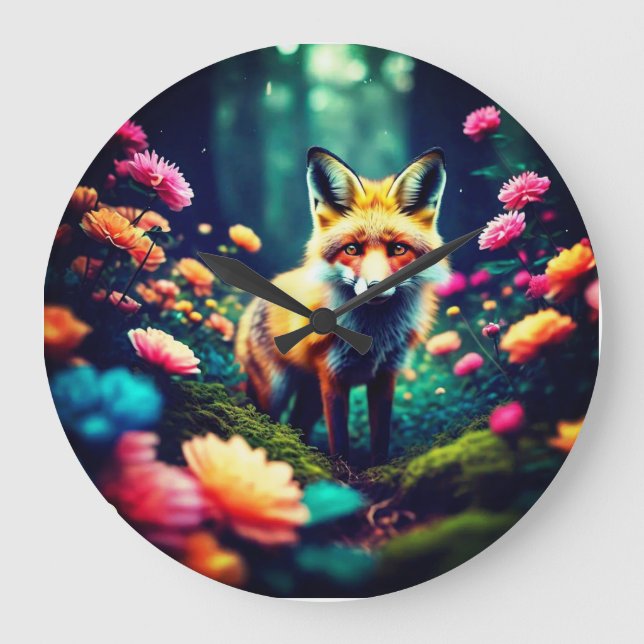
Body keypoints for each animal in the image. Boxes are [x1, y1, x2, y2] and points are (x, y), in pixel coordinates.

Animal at [235, 147, 449, 464]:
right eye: (352, 249)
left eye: (398, 249)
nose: (375, 286)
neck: (374, 336)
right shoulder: (332, 375)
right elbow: (339, 440)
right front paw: (340, 472)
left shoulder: (385, 375)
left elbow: (380, 437)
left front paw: (377, 468)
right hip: (275, 390)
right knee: (269, 417)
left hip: (309, 395)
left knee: (297, 423)